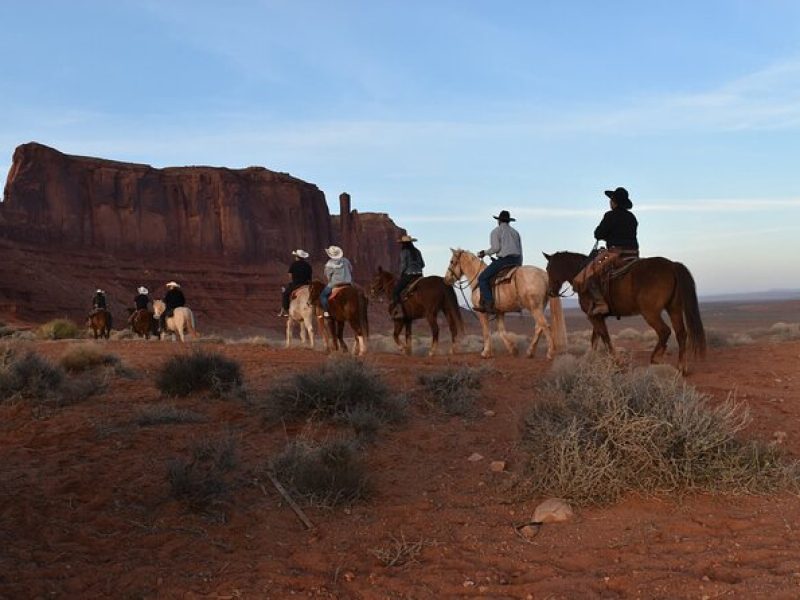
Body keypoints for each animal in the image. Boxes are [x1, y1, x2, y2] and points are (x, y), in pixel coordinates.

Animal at [544, 250, 708, 372]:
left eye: (548, 269)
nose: (550, 292)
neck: (582, 276)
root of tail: (672, 265)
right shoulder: (598, 316)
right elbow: (596, 338)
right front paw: (592, 361)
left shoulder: (593, 316)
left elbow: (605, 338)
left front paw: (617, 362)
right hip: (674, 309)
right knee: (681, 334)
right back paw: (682, 367)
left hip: (650, 313)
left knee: (665, 331)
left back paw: (656, 358)